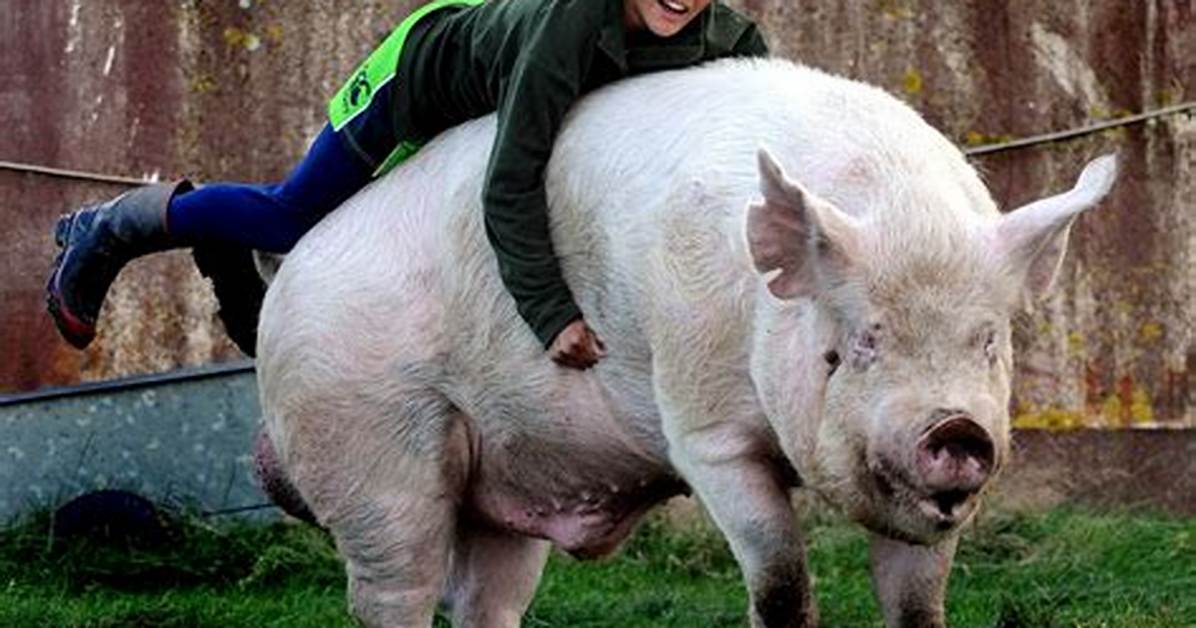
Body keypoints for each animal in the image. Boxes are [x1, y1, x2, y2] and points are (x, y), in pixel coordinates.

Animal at [253, 57, 1117, 628]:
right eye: (857, 343)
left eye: (988, 341)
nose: (958, 428)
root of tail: (287, 277)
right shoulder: (705, 429)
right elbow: (780, 580)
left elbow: (918, 604)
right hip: (366, 447)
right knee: (393, 584)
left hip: (503, 477)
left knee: (482, 596)